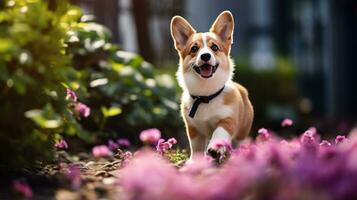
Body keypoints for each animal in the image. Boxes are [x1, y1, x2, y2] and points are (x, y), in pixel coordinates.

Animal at [170, 10, 252, 159]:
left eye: (214, 47)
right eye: (194, 49)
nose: (205, 56)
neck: (206, 95)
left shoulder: (228, 120)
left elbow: (219, 132)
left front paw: (215, 148)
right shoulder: (193, 129)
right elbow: (196, 147)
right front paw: (195, 161)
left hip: (242, 132)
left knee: (239, 142)